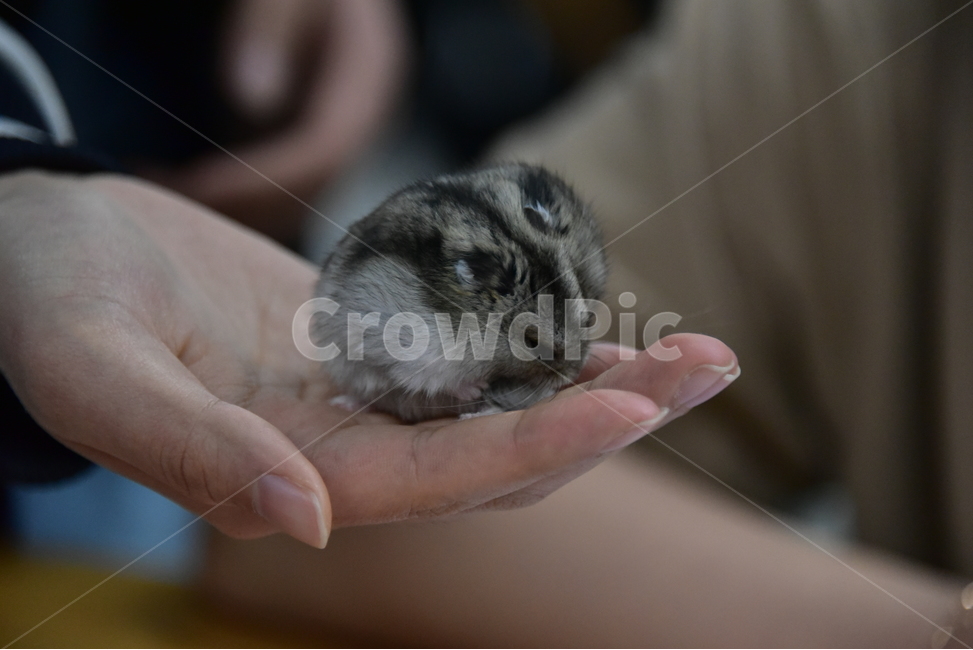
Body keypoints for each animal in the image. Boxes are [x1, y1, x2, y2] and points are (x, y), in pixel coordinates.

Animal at [313, 162, 607, 423]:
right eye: (531, 340)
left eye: (587, 320)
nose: (571, 374)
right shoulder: (410, 349)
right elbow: (427, 378)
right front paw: (476, 388)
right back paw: (343, 402)